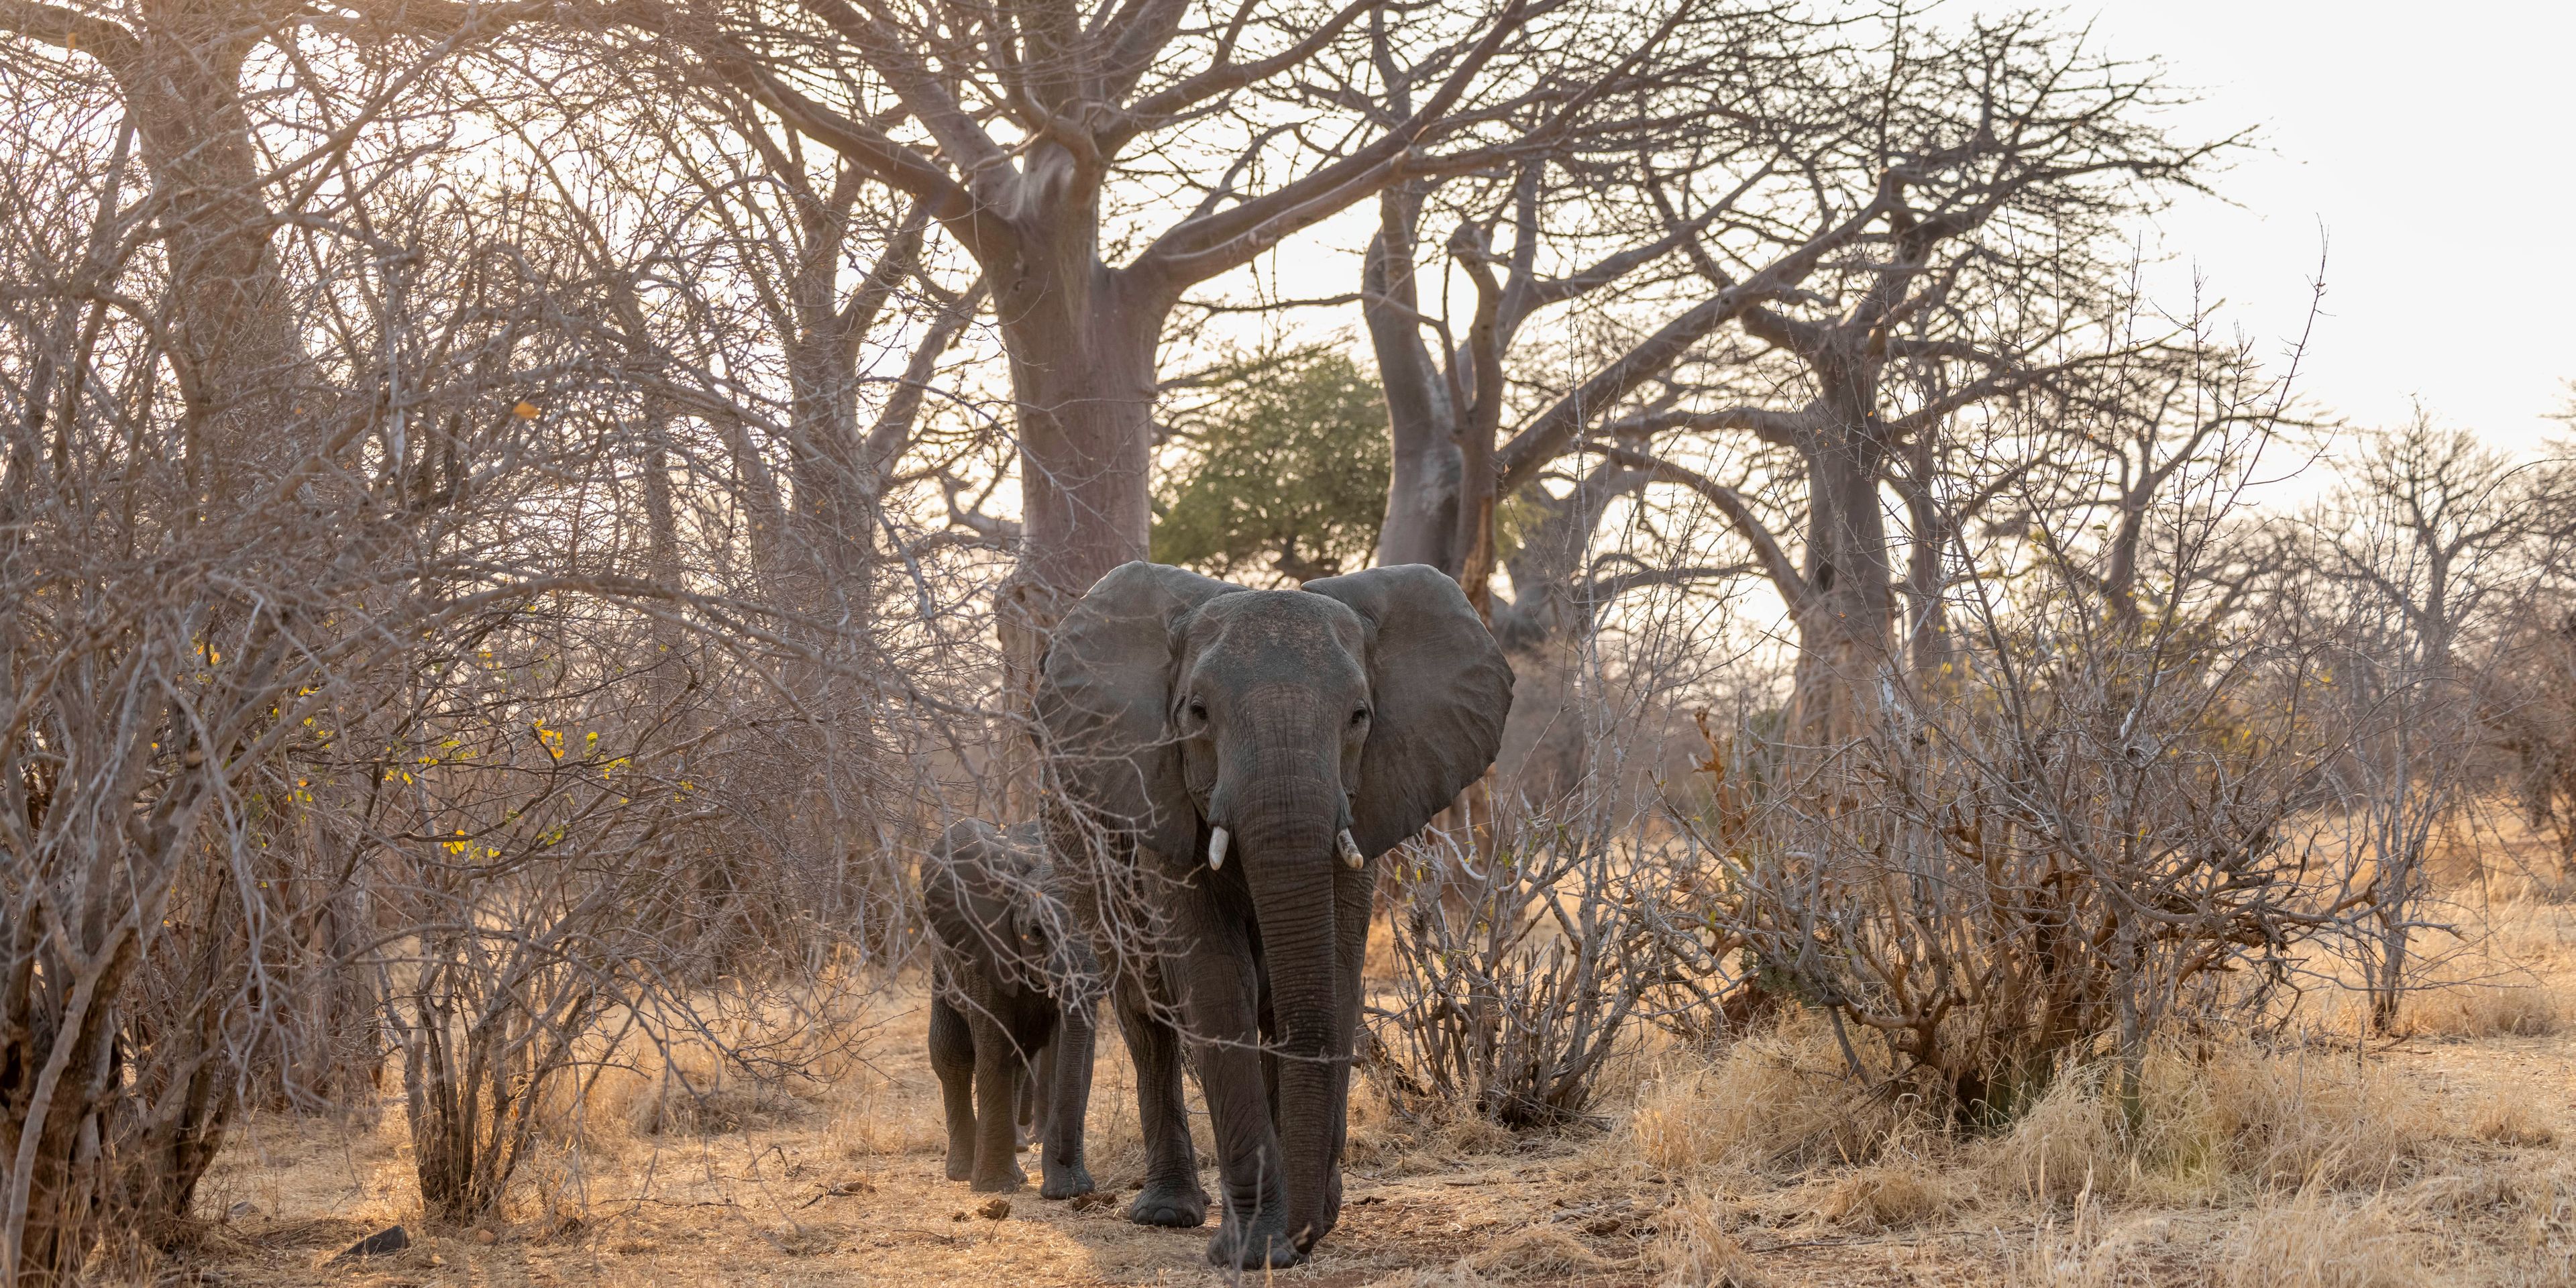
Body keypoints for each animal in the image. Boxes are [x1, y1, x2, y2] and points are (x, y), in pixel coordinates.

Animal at [921, 818, 1099, 1198]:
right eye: (1036, 932)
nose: (1070, 1191)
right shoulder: (985, 945)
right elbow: (994, 1046)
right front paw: (994, 1188)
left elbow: (1074, 1055)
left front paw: (1068, 1189)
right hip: (942, 968)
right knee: (951, 1055)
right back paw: (963, 1173)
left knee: (1022, 1060)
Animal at [1038, 562, 1512, 1268]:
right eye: (1198, 714)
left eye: (1360, 717)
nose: (1305, 1236)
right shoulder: (1159, 803)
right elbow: (1215, 981)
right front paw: (1255, 1249)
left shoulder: (1363, 805)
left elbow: (1333, 976)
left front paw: (1304, 1223)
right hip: (1079, 855)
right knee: (1146, 1011)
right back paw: (1168, 1213)